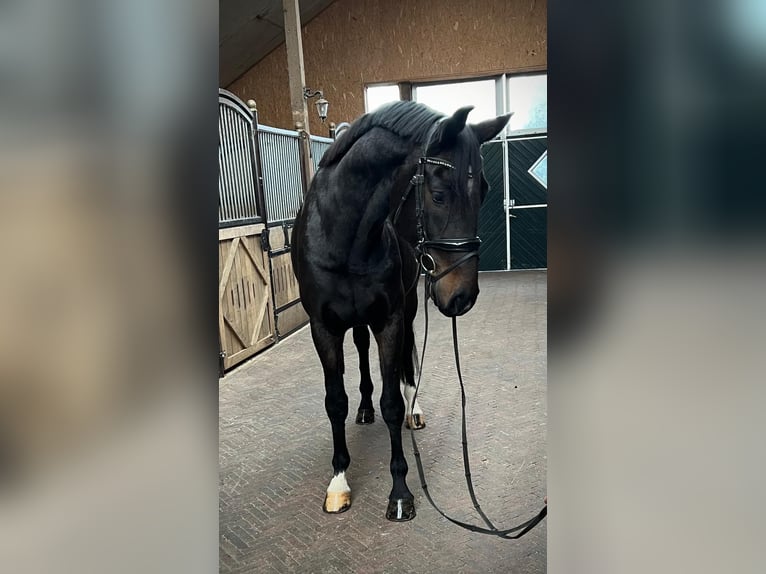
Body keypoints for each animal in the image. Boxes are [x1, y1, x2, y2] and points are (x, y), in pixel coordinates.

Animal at [292, 100, 510, 520]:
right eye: (439, 195)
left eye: (484, 191)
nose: (463, 296)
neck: (343, 238)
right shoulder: (323, 327)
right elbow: (334, 402)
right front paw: (338, 483)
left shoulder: (390, 319)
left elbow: (392, 401)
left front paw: (399, 491)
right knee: (361, 352)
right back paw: (364, 408)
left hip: (407, 308)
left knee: (407, 359)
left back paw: (415, 408)